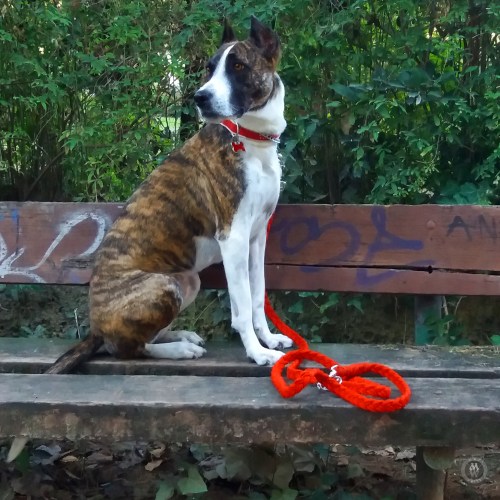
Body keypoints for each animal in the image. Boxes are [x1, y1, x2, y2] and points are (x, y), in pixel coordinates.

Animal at [46, 17, 292, 374]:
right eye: (209, 68)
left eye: (238, 66)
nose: (200, 97)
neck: (250, 138)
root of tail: (96, 329)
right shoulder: (233, 237)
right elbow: (243, 306)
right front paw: (257, 353)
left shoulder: (257, 237)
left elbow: (258, 296)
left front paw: (269, 340)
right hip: (165, 286)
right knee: (128, 349)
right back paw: (179, 349)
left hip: (188, 281)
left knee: (145, 336)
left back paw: (181, 336)